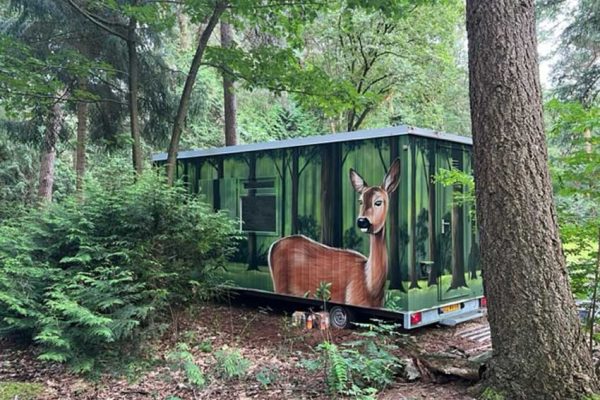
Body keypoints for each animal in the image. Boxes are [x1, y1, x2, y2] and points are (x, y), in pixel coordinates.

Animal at [266, 158, 398, 308]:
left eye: (378, 202)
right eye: (360, 201)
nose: (362, 221)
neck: (370, 287)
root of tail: (273, 246)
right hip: (280, 284)